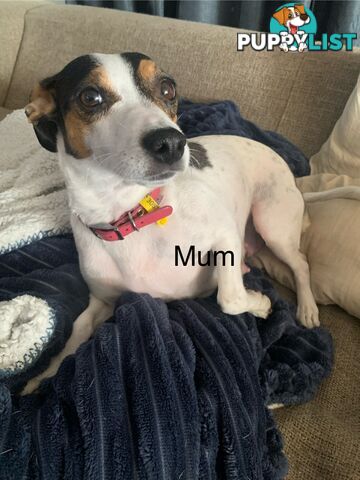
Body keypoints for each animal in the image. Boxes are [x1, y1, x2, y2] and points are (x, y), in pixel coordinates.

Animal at [21, 51, 318, 394]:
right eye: (90, 97)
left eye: (167, 88)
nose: (172, 143)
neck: (131, 215)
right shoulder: (103, 301)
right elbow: (76, 332)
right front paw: (42, 376)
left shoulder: (225, 236)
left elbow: (229, 298)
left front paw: (260, 303)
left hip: (272, 224)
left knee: (301, 263)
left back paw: (307, 309)